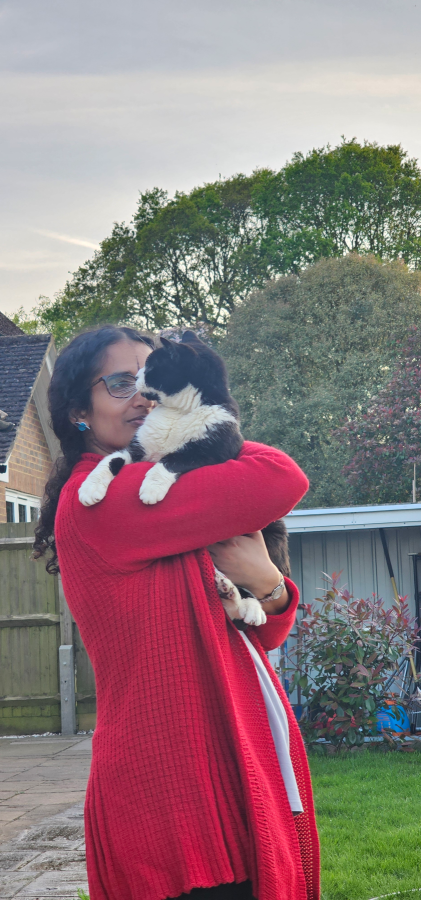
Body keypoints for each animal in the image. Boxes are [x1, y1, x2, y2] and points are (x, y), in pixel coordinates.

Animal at [79, 331, 290, 626]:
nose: (137, 376)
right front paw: (89, 489)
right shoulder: (137, 449)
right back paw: (228, 592)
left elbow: (174, 459)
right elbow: (110, 460)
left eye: (151, 365)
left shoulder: (214, 449)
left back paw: (249, 606)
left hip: (273, 531)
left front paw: (150, 488)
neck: (178, 413)